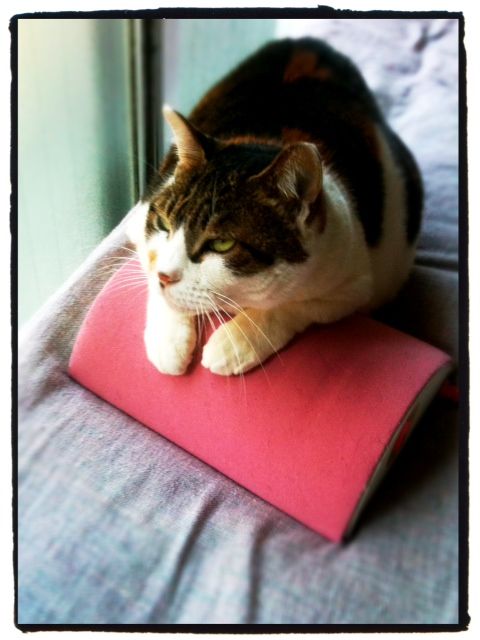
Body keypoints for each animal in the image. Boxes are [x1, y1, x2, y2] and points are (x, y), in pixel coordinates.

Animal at [127, 37, 422, 376]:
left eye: (222, 244)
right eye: (163, 223)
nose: (165, 277)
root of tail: (308, 42)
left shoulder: (352, 282)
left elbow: (290, 306)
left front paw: (235, 343)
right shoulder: (138, 222)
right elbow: (151, 266)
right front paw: (168, 341)